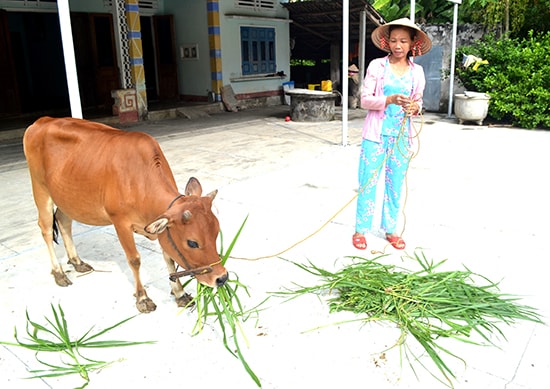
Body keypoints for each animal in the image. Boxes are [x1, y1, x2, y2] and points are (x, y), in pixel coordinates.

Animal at [23, 115, 229, 312]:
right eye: (192, 242)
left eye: (216, 234)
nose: (222, 278)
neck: (141, 181)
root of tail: (41, 121)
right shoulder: (120, 222)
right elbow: (134, 260)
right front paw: (143, 298)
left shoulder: (163, 229)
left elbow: (169, 257)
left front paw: (180, 293)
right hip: (40, 189)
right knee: (46, 229)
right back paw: (58, 273)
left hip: (66, 197)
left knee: (63, 221)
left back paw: (77, 262)